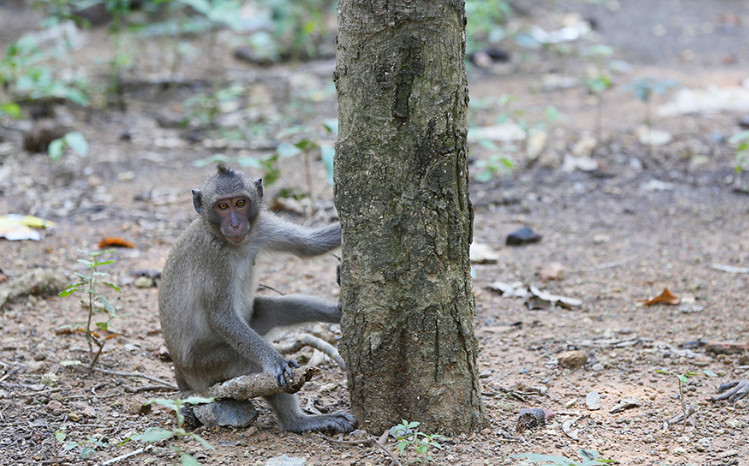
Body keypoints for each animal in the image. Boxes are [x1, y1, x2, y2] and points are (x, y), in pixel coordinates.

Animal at [159, 163, 356, 434]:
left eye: (240, 203)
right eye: (222, 206)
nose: (234, 224)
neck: (229, 241)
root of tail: (179, 370)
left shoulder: (261, 226)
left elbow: (311, 246)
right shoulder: (213, 256)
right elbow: (221, 316)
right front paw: (275, 361)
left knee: (273, 310)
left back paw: (336, 314)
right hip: (205, 367)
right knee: (251, 365)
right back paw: (298, 422)